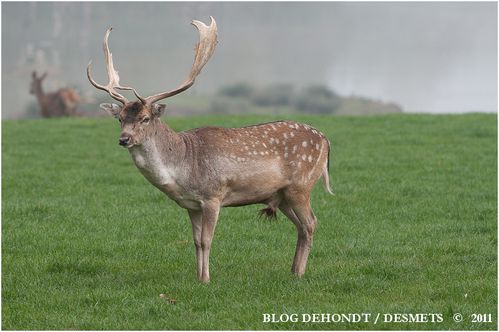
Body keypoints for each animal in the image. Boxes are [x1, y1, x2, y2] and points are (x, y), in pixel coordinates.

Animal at [88, 16, 334, 282]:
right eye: (120, 118)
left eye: (145, 118)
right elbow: (196, 241)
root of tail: (326, 141)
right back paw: (292, 270)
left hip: (302, 185)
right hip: (283, 194)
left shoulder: (213, 195)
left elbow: (207, 240)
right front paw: (198, 277)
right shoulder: (191, 204)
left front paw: (206, 279)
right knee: (301, 226)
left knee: (311, 223)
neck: (183, 168)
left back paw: (299, 273)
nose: (124, 139)